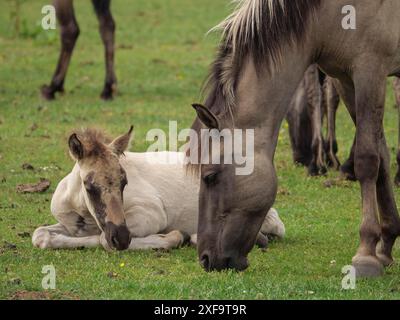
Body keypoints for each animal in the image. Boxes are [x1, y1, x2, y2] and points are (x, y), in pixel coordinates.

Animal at [32, 128, 286, 252]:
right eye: (89, 185)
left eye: (124, 182)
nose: (121, 237)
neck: (82, 211)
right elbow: (40, 235)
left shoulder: (151, 214)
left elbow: (104, 240)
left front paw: (174, 237)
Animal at [189, 0, 400, 276]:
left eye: (210, 176)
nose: (205, 259)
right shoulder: (345, 79)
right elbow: (382, 157)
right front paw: (385, 247)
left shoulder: (370, 70)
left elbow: (367, 160)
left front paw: (366, 254)